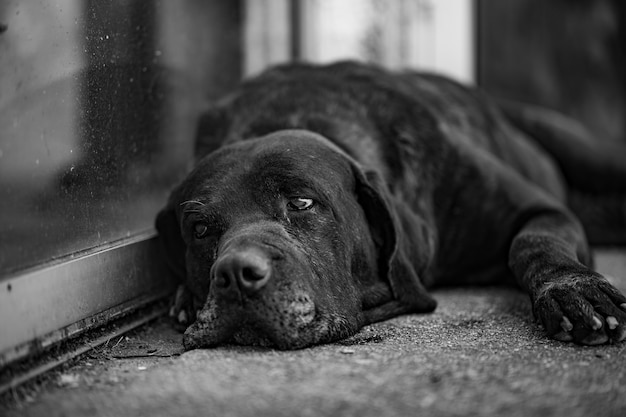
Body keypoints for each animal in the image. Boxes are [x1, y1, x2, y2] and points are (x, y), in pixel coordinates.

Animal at [156, 60, 624, 350]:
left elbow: (532, 243)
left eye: (302, 202)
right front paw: (184, 299)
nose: (236, 274)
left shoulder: (539, 209)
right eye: (199, 230)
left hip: (583, 150)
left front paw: (572, 290)